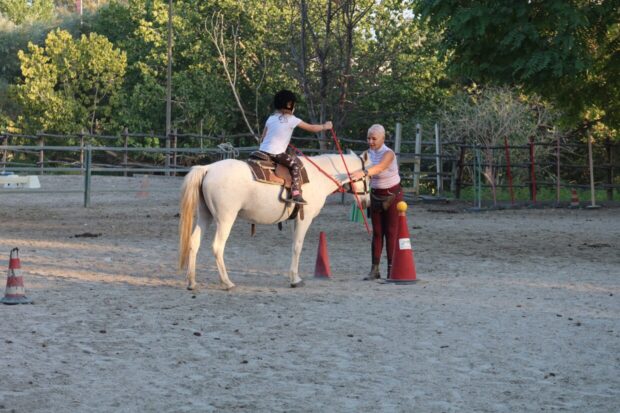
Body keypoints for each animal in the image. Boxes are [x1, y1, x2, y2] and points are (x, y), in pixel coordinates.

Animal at [177, 151, 370, 290]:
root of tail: (208, 168)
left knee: (194, 242)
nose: (367, 203)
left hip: (205, 215)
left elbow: (294, 246)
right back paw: (227, 282)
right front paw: (295, 279)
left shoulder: (295, 219)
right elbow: (297, 247)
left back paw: (191, 282)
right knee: (217, 246)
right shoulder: (304, 219)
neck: (317, 177)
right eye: (368, 176)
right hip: (225, 219)